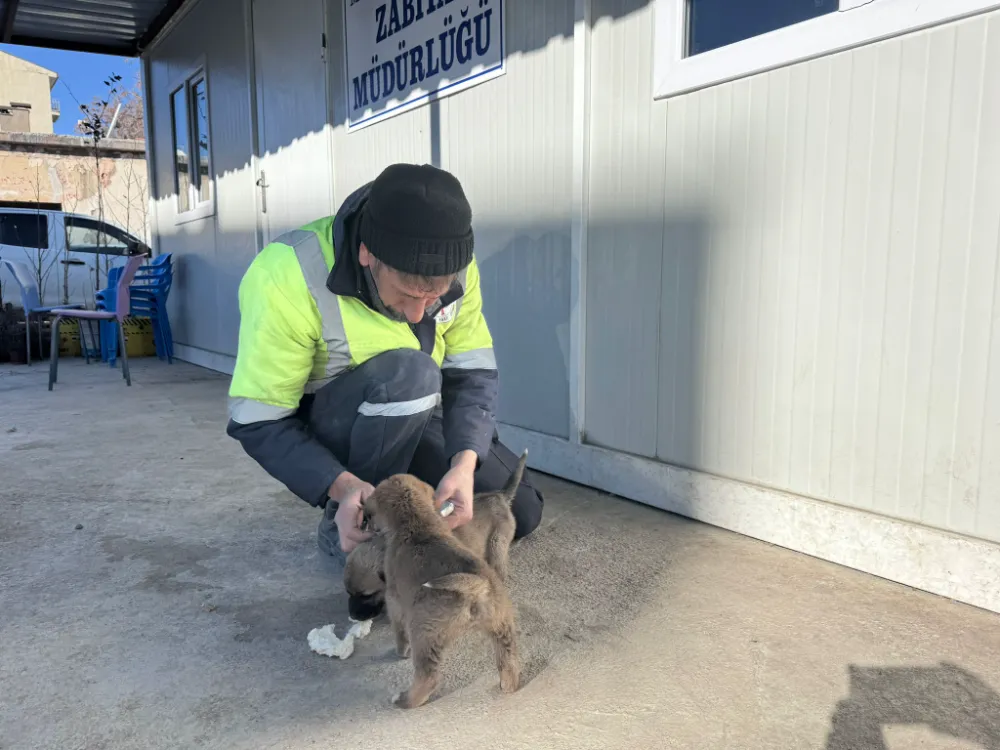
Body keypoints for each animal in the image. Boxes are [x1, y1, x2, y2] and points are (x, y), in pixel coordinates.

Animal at [362, 472, 520, 708]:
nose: (365, 522)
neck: (417, 522)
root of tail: (476, 589)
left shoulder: (394, 601)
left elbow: (399, 631)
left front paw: (400, 651)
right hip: (501, 624)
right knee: (509, 660)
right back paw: (509, 686)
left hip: (423, 632)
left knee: (428, 677)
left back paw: (404, 700)